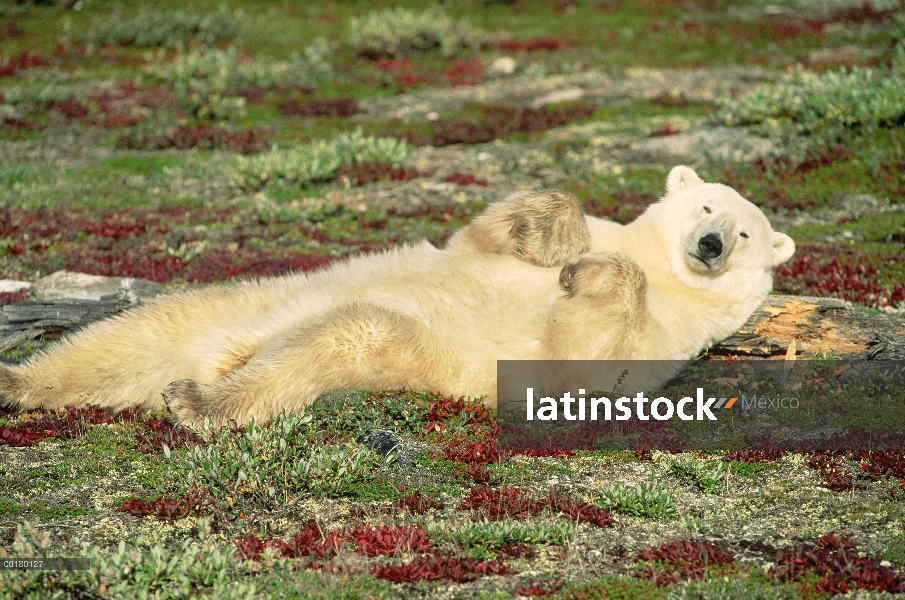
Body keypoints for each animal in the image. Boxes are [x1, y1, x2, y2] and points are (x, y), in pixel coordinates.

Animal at [0, 166, 792, 424]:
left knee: (340, 338)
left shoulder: (665, 344)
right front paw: (558, 243)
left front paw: (581, 277)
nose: (711, 245)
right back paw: (18, 381)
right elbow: (491, 232)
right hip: (241, 299)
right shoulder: (568, 234)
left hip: (394, 342)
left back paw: (199, 401)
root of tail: (228, 350)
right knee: (133, 334)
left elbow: (583, 352)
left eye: (746, 233)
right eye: (705, 206)